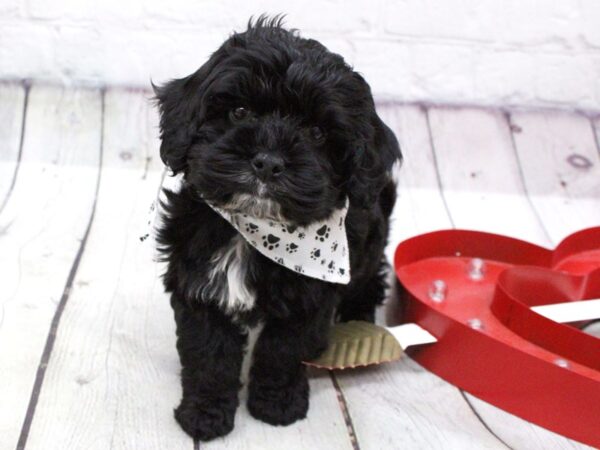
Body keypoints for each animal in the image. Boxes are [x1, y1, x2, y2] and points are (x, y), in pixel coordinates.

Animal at [155, 15, 400, 442]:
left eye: (317, 133)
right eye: (238, 112)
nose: (268, 162)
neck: (257, 231)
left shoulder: (310, 300)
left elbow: (282, 350)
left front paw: (277, 405)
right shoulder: (198, 283)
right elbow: (207, 352)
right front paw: (204, 414)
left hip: (370, 243)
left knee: (371, 278)